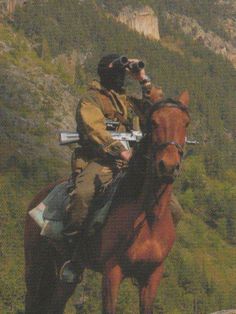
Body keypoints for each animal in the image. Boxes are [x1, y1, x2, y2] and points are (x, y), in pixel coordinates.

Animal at [24, 90, 190, 312]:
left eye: (185, 123)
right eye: (154, 122)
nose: (169, 166)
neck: (149, 219)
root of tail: (40, 195)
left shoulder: (151, 276)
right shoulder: (112, 272)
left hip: (62, 275)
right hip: (35, 266)